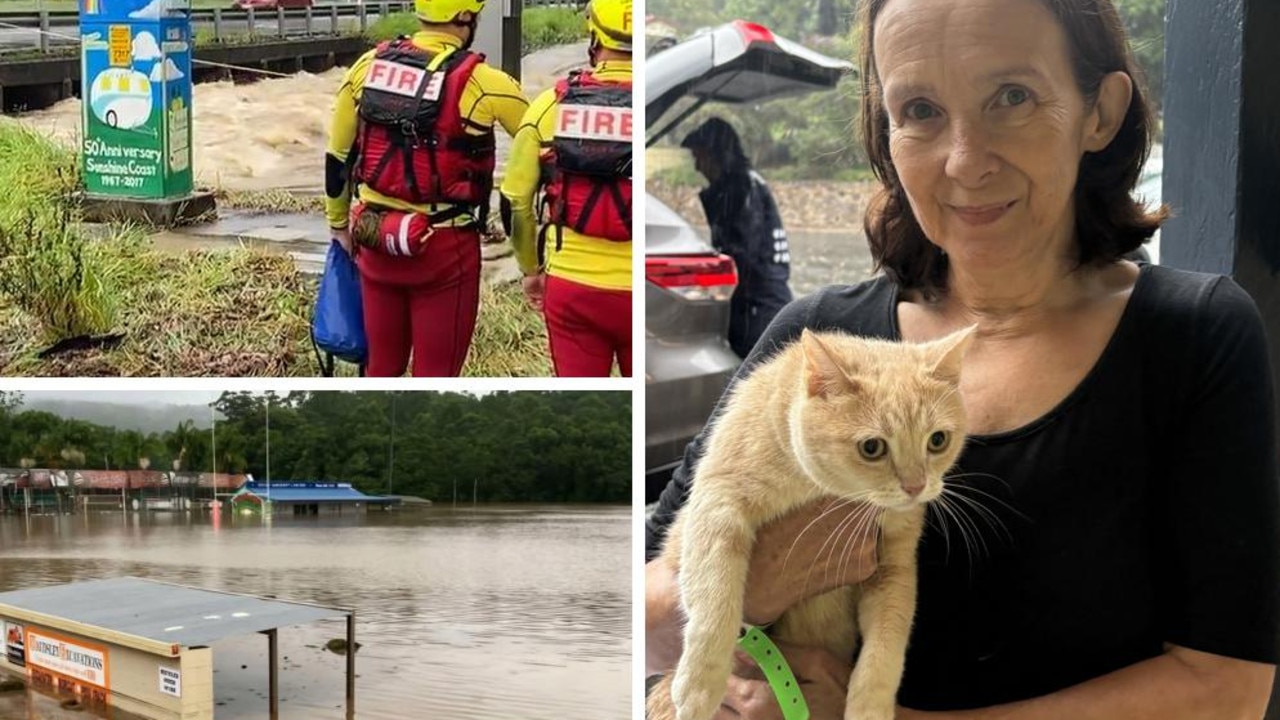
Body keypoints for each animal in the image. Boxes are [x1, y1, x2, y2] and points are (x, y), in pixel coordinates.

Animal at [650, 327, 967, 717]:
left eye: (937, 440)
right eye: (872, 448)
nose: (915, 487)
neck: (816, 487)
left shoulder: (894, 567)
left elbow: (886, 645)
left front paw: (870, 708)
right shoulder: (718, 500)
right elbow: (716, 597)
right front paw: (700, 685)